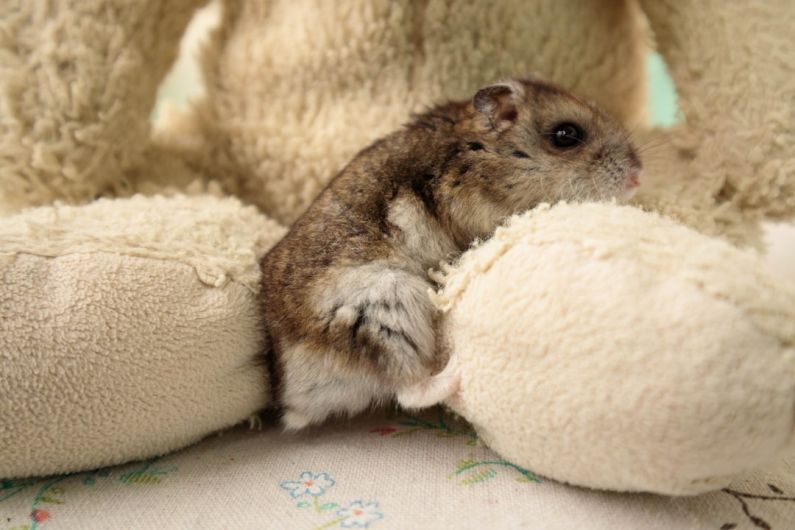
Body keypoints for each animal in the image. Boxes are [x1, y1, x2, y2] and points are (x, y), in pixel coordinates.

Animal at [258, 76, 644, 426]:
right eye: (566, 135)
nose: (639, 175)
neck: (479, 150)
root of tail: (293, 399)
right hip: (385, 305)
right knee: (408, 390)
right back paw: (458, 366)